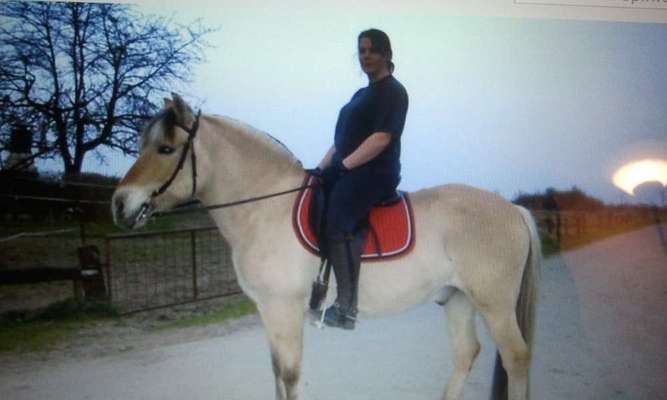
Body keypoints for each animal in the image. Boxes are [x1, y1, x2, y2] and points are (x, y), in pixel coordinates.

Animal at [112, 94, 544, 400]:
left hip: (495, 305)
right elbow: (276, 375)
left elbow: (290, 376)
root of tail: (513, 209)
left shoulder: (285, 308)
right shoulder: (269, 310)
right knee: (466, 353)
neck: (267, 205)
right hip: (457, 299)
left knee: (517, 357)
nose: (119, 204)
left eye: (166, 149)